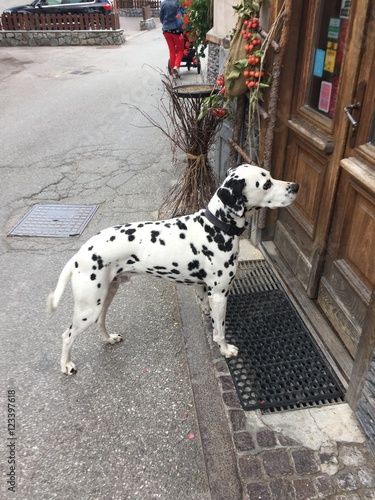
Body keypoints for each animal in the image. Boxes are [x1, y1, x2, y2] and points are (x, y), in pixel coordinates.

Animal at [47, 165, 300, 376]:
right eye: (265, 184)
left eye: (270, 176)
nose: (295, 186)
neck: (216, 226)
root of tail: (79, 255)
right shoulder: (220, 295)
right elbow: (220, 330)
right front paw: (225, 350)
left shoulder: (203, 289)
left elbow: (206, 310)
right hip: (88, 308)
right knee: (67, 335)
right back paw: (66, 365)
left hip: (106, 295)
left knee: (100, 322)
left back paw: (109, 339)